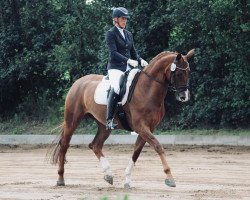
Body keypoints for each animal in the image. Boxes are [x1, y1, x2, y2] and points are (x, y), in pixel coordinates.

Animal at [49, 48, 195, 188]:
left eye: (189, 72)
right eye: (179, 73)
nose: (184, 96)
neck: (147, 89)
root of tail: (78, 82)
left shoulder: (148, 128)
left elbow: (136, 151)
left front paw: (127, 180)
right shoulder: (141, 127)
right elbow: (158, 146)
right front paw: (169, 177)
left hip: (104, 126)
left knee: (95, 145)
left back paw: (108, 175)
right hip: (72, 121)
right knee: (64, 145)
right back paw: (60, 179)